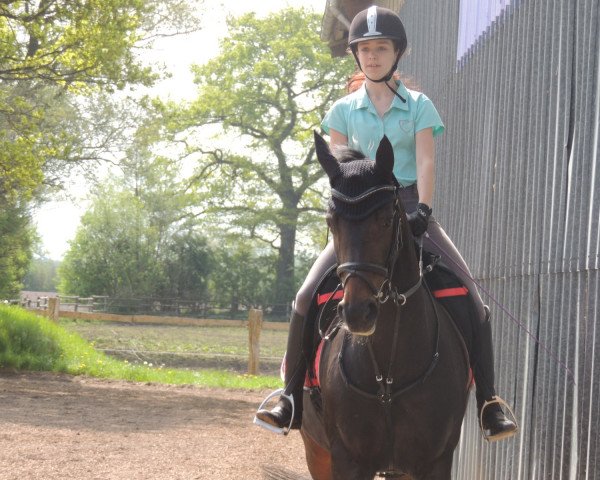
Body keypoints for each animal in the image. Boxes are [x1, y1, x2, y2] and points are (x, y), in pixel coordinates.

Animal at [302, 133, 472, 480]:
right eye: (331, 221)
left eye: (385, 219)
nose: (358, 313)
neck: (389, 375)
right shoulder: (347, 461)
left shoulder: (434, 462)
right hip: (317, 452)